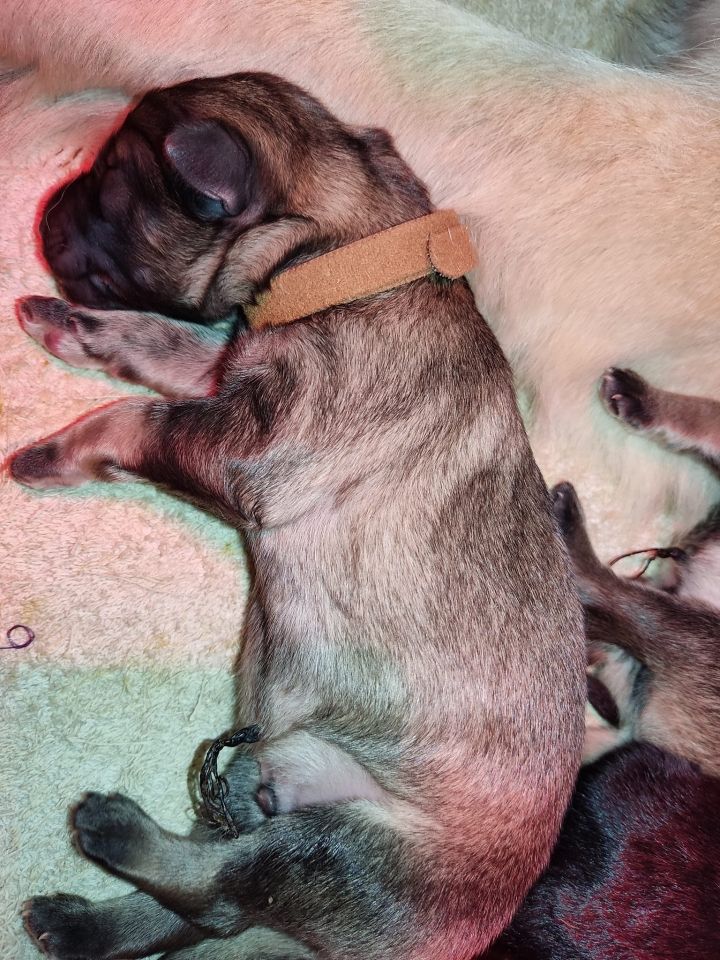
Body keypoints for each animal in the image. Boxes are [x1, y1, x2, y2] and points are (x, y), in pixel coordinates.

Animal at [9, 72, 585, 960]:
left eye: (112, 184)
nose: (42, 214)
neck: (345, 255)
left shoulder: (251, 444)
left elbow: (131, 417)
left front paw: (53, 450)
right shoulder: (219, 372)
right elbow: (153, 339)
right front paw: (65, 324)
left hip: (349, 852)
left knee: (220, 893)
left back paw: (113, 832)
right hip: (267, 789)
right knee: (210, 904)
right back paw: (76, 922)